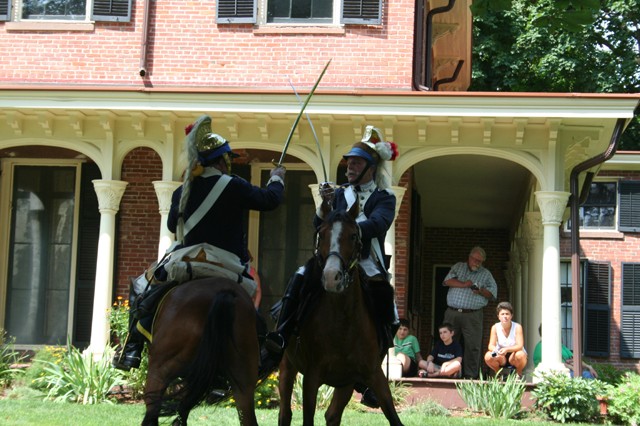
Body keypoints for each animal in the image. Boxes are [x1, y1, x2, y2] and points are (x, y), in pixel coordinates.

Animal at [278, 202, 402, 426]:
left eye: (353, 235)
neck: (344, 322)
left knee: (332, 415)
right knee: (285, 414)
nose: (331, 277)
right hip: (287, 367)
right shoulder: (311, 378)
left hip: (346, 383)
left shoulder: (373, 374)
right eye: (321, 234)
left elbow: (394, 418)